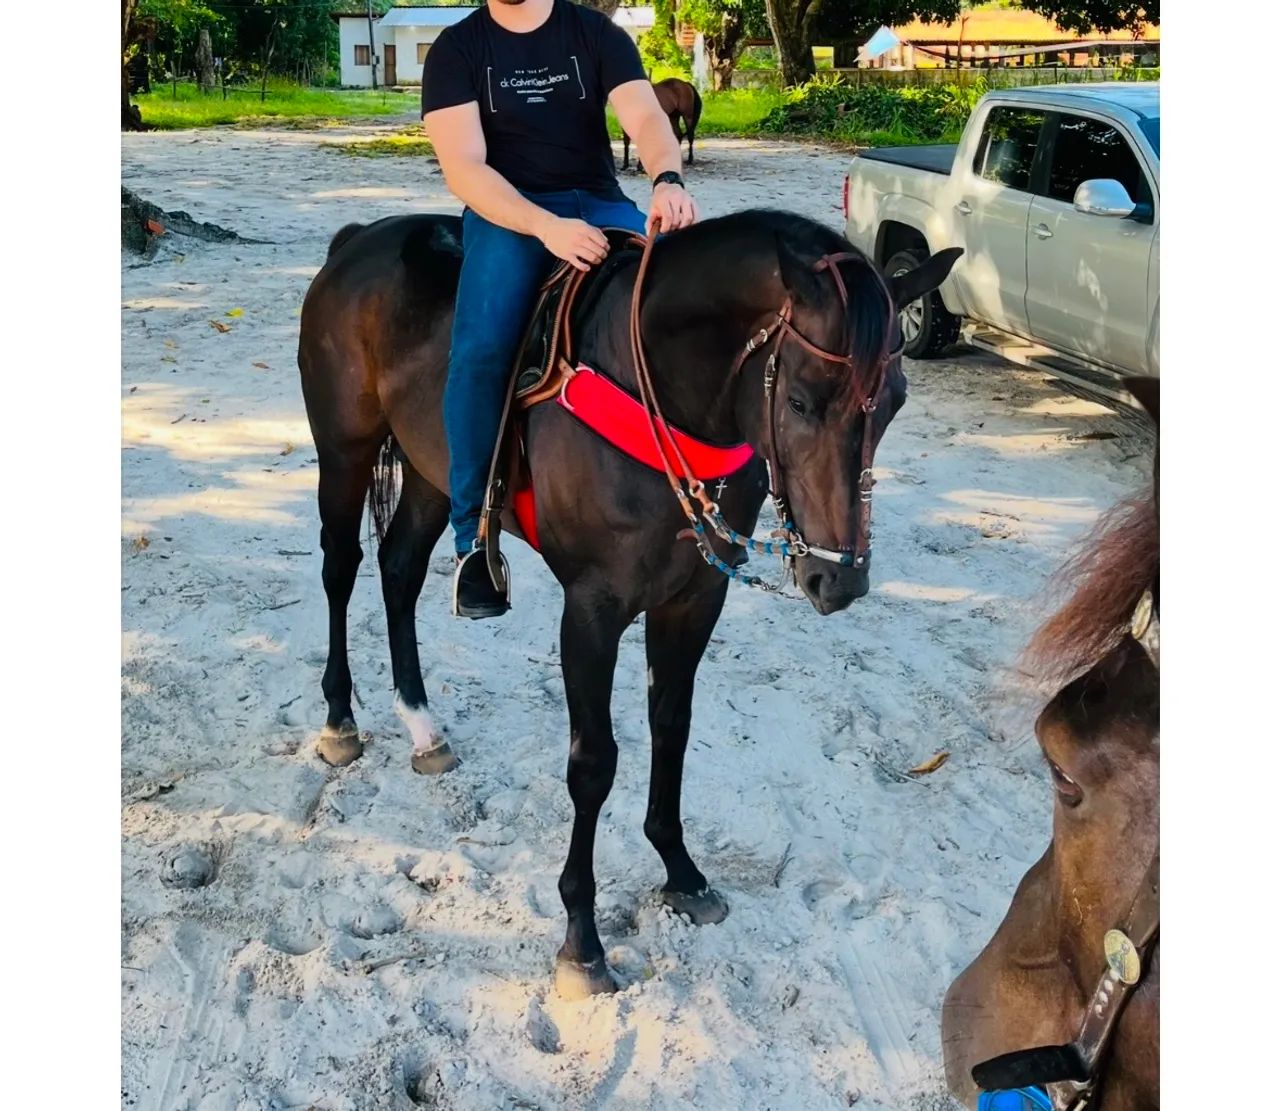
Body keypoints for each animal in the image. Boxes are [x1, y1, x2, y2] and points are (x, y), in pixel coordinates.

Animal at [297, 208, 961, 997]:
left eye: (894, 403)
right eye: (800, 401)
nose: (841, 581)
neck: (665, 400)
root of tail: (356, 239)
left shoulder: (694, 598)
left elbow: (671, 729)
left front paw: (681, 871)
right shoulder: (591, 610)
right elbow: (594, 763)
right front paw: (581, 939)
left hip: (433, 470)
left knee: (399, 571)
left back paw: (423, 725)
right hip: (344, 453)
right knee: (341, 570)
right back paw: (339, 718)